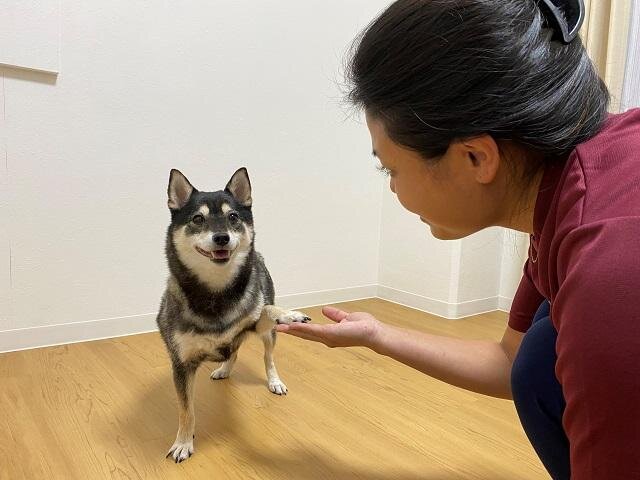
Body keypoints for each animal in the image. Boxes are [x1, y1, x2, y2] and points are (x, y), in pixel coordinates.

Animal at [159, 168, 312, 462]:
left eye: (233, 217)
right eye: (198, 219)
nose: (222, 237)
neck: (216, 293)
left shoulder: (255, 324)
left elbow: (267, 309)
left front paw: (289, 314)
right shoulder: (182, 363)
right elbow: (186, 411)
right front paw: (183, 441)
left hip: (267, 335)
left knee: (267, 357)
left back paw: (274, 381)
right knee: (233, 351)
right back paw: (224, 369)